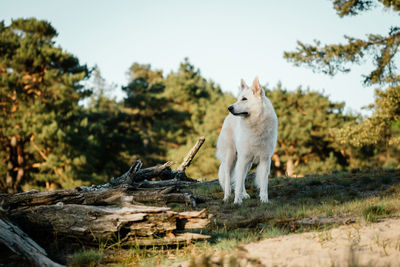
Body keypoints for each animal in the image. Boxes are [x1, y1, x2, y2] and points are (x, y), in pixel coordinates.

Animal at [216, 77, 278, 205]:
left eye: (244, 99)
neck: (256, 124)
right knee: (229, 176)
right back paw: (227, 196)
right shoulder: (243, 158)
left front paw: (264, 200)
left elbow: (264, 183)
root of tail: (227, 117)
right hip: (231, 157)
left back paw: (244, 194)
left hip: (247, 163)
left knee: (241, 177)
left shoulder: (265, 159)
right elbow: (238, 183)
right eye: (238, 99)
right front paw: (236, 202)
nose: (229, 108)